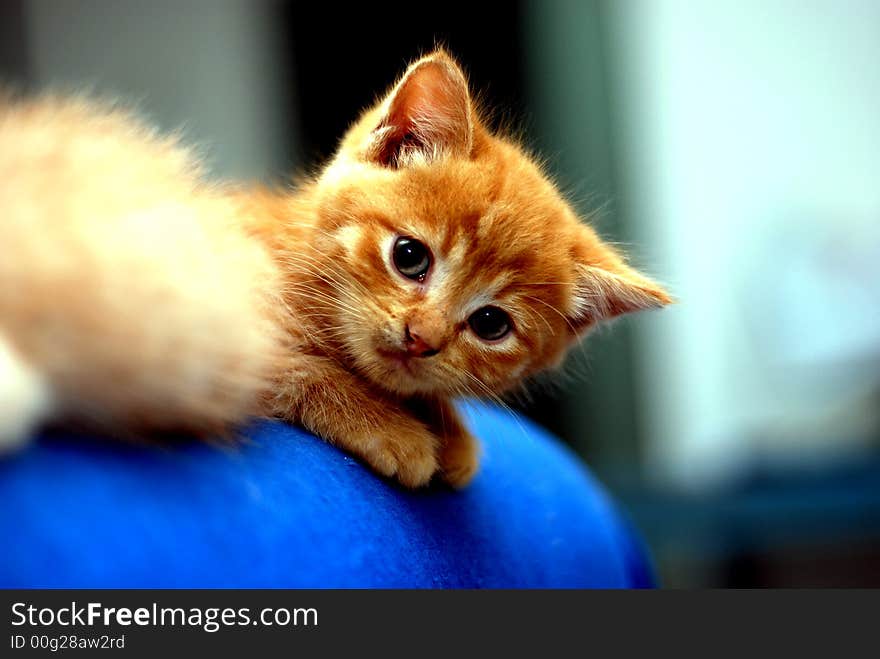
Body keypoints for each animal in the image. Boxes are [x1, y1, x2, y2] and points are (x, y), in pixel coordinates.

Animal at [0, 51, 668, 488]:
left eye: (491, 325)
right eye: (410, 257)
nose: (421, 337)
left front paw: (449, 428)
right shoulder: (215, 311)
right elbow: (299, 369)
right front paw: (391, 428)